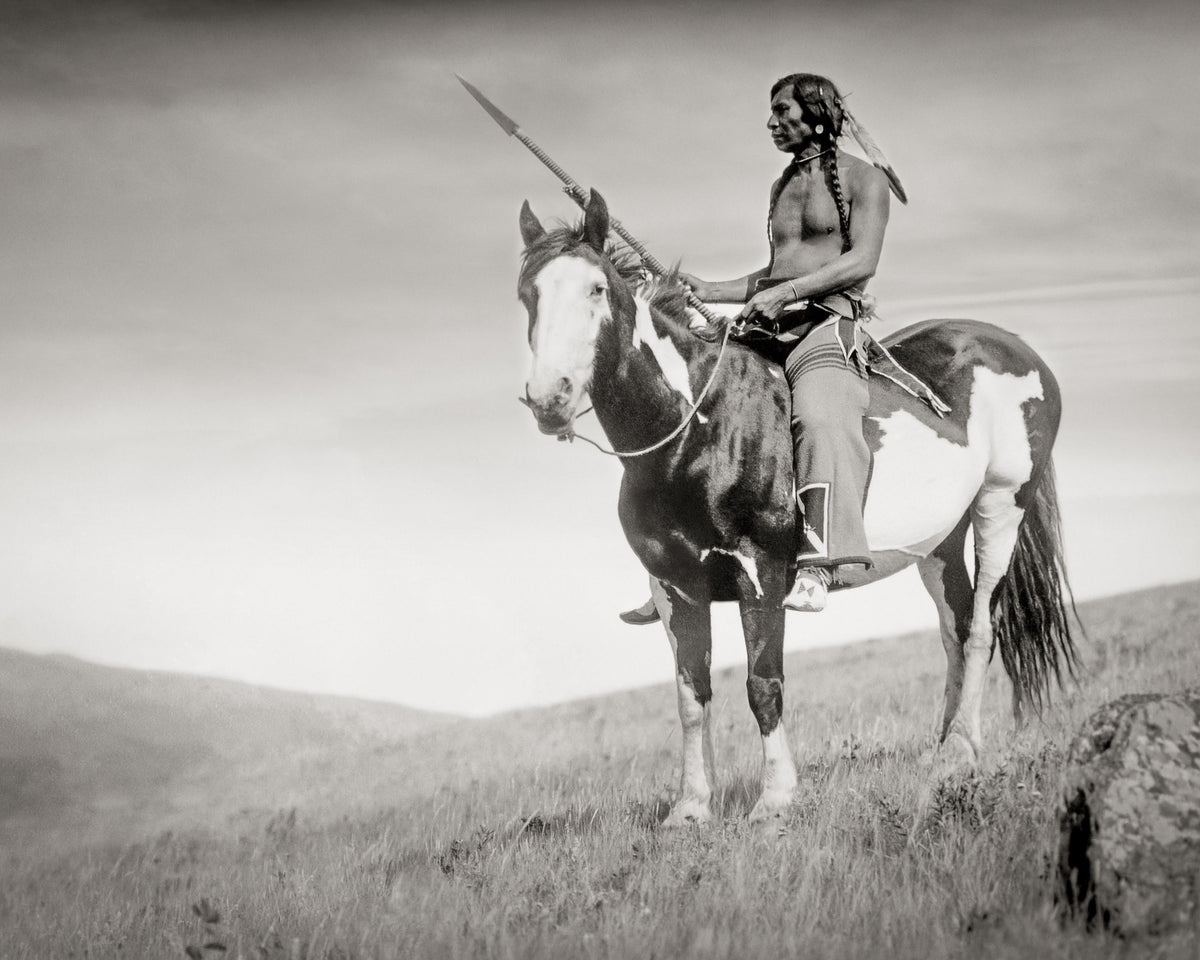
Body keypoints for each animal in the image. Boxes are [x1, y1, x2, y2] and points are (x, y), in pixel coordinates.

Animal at [517, 190, 1078, 825]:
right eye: (528, 294)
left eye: (596, 289)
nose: (549, 398)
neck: (699, 429)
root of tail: (1018, 349)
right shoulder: (676, 587)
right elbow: (690, 696)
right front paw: (690, 810)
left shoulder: (761, 574)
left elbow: (763, 684)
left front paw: (776, 801)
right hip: (939, 542)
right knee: (954, 631)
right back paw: (946, 754)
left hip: (1001, 506)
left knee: (982, 627)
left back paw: (959, 754)